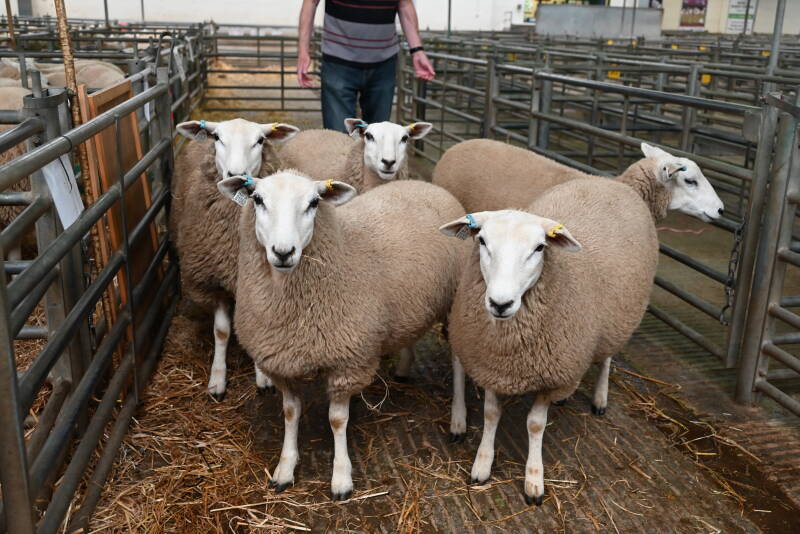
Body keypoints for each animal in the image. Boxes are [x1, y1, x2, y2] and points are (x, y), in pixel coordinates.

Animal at [172, 118, 299, 400]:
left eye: (260, 140)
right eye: (217, 137)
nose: (235, 174)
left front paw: (263, 377)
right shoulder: (215, 279)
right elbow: (221, 331)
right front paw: (217, 378)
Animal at [218, 171, 468, 500]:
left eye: (313, 203)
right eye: (257, 199)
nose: (284, 252)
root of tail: (427, 184)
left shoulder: (347, 363)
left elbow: (337, 421)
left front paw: (341, 478)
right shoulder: (281, 364)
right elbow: (290, 413)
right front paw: (285, 468)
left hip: (455, 297)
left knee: (459, 360)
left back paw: (458, 420)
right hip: (414, 300)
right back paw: (403, 368)